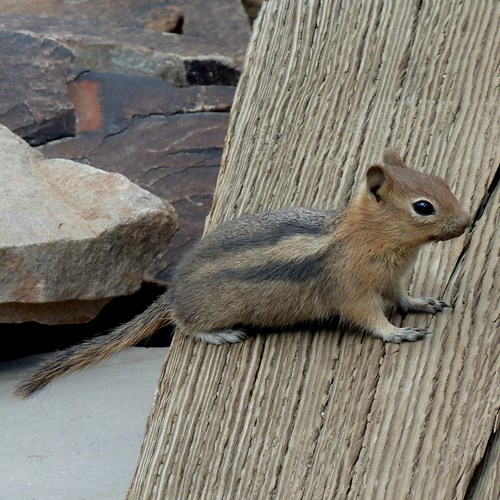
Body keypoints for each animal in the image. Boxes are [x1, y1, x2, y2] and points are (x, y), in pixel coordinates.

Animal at [15, 148, 470, 398]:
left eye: (443, 181)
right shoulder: (353, 288)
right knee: (184, 326)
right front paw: (398, 332)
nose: (468, 221)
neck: (371, 238)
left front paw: (424, 303)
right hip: (206, 312)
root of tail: (171, 292)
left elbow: (404, 296)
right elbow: (369, 317)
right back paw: (220, 334)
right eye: (423, 207)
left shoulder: (393, 278)